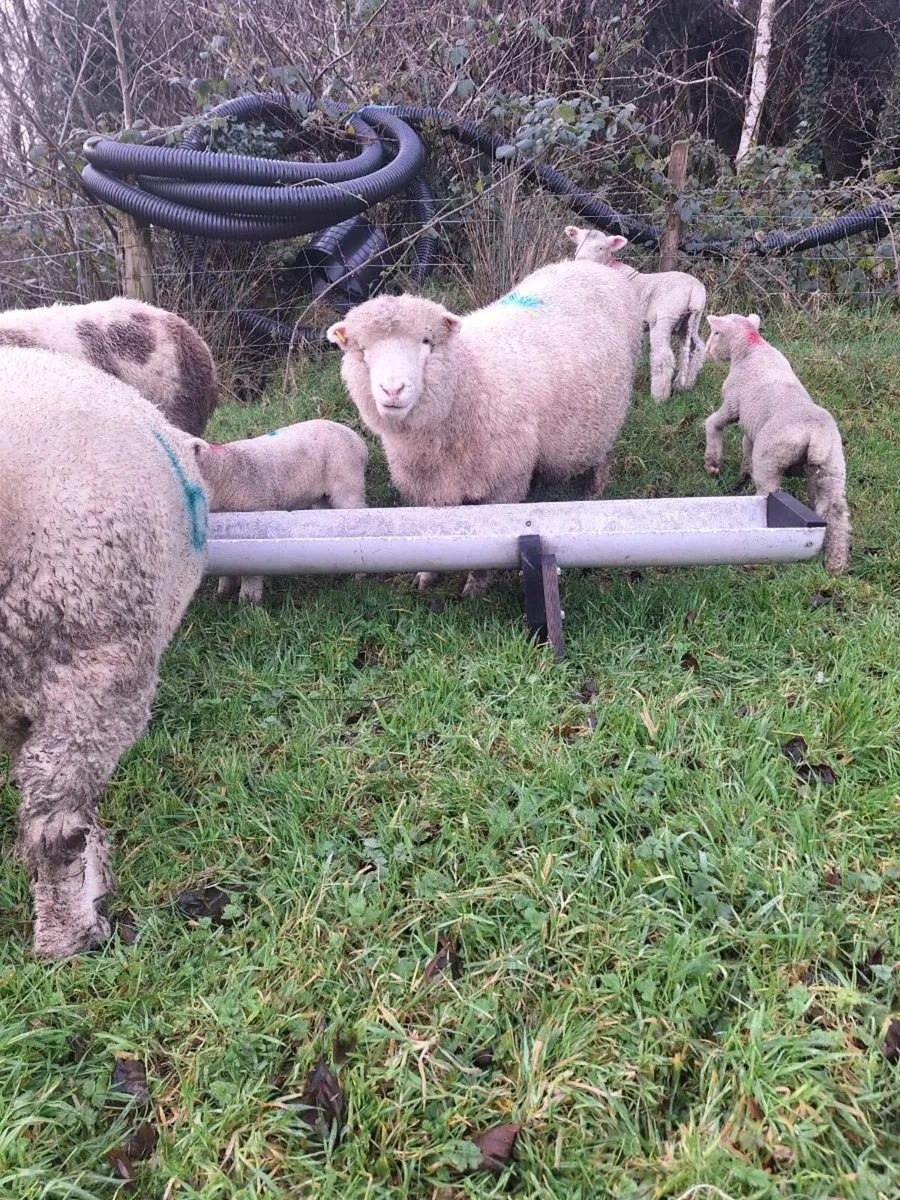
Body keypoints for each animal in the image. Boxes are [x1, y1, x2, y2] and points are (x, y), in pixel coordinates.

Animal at [193, 419, 369, 604]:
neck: (222, 473)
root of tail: (359, 441)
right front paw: (223, 592)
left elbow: (250, 571)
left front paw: (249, 601)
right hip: (324, 496)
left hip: (348, 481)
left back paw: (359, 576)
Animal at [326, 258, 643, 595]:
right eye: (363, 351)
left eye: (426, 342)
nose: (392, 389)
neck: (469, 381)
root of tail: (587, 264)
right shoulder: (428, 488)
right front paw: (426, 576)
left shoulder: (502, 485)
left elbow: (485, 546)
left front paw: (475, 588)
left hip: (609, 412)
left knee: (603, 455)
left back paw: (593, 491)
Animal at [564, 225, 707, 404]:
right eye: (578, 243)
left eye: (601, 247)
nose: (580, 260)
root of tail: (694, 290)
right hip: (691, 320)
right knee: (696, 348)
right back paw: (684, 385)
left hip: (665, 318)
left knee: (663, 357)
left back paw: (659, 397)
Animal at [703, 312, 850, 573]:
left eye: (715, 333)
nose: (706, 351)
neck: (750, 347)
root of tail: (814, 436)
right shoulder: (752, 427)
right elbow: (746, 446)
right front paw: (743, 472)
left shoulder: (733, 404)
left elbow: (714, 424)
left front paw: (712, 463)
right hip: (831, 468)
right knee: (834, 511)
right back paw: (835, 562)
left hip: (771, 458)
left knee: (767, 494)